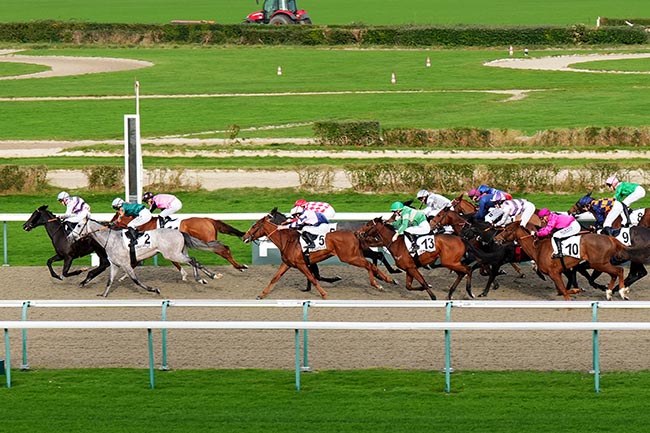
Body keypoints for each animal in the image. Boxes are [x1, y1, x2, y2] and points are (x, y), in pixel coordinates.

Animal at [112, 213, 247, 270]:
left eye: (115, 217)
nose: (109, 223)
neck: (145, 224)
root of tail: (208, 220)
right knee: (225, 249)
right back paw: (240, 266)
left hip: (209, 241)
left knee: (224, 249)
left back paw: (239, 266)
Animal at [242, 208, 398, 296]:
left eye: (254, 226)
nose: (244, 237)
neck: (288, 240)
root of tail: (355, 233)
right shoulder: (289, 263)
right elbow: (275, 278)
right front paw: (262, 294)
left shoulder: (302, 264)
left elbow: (313, 277)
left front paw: (323, 293)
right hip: (356, 254)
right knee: (373, 260)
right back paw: (386, 279)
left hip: (349, 257)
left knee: (370, 262)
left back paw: (381, 281)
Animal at [494, 221, 636, 298]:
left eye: (507, 229)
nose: (496, 239)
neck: (537, 248)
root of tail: (610, 238)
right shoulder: (557, 273)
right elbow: (561, 291)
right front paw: (578, 290)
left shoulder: (554, 273)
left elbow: (563, 291)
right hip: (601, 263)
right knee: (614, 273)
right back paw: (609, 292)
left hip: (598, 263)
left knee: (619, 270)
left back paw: (622, 292)